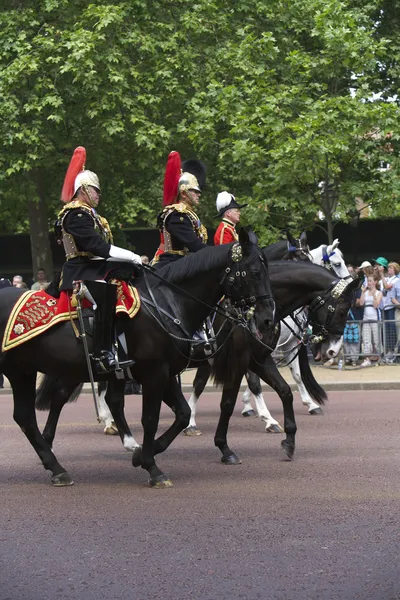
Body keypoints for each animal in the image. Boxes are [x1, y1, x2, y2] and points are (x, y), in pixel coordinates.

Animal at [0, 230, 274, 488]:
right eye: (254, 272)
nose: (267, 320)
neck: (168, 304)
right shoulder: (155, 373)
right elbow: (151, 419)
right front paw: (153, 469)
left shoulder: (166, 373)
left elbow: (183, 413)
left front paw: (142, 455)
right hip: (25, 371)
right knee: (37, 412)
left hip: (27, 370)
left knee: (29, 415)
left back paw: (57, 465)